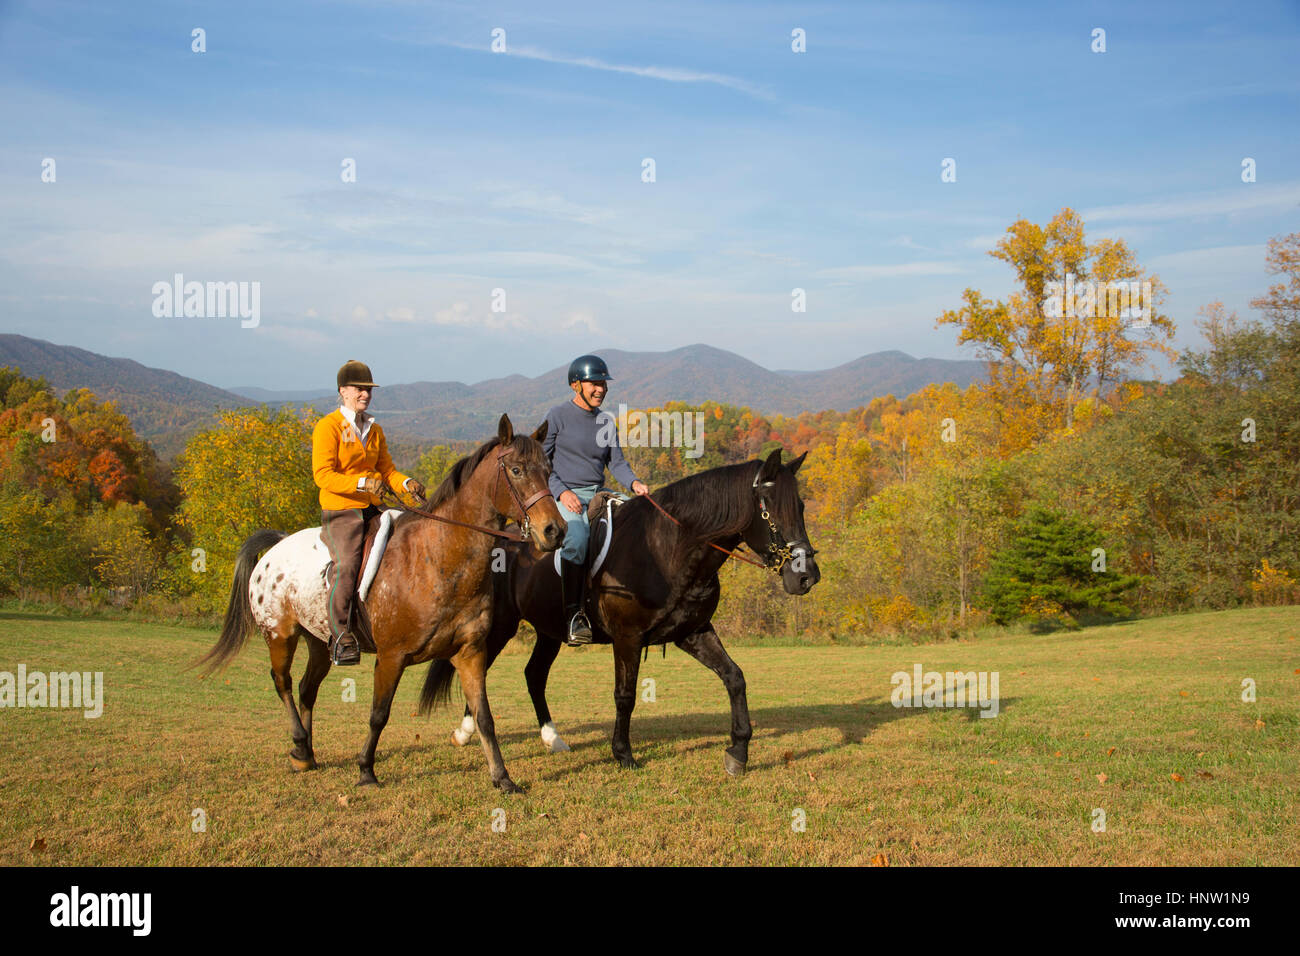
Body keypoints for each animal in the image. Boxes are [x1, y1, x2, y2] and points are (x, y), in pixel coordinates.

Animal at [197, 416, 564, 796]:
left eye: (548, 470)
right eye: (517, 470)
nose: (554, 531)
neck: (439, 559)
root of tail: (276, 547)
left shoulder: (470, 653)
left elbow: (484, 718)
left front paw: (502, 778)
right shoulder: (391, 657)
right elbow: (379, 714)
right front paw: (366, 771)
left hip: (319, 643)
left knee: (306, 688)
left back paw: (306, 754)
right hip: (280, 635)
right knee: (282, 682)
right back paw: (299, 743)